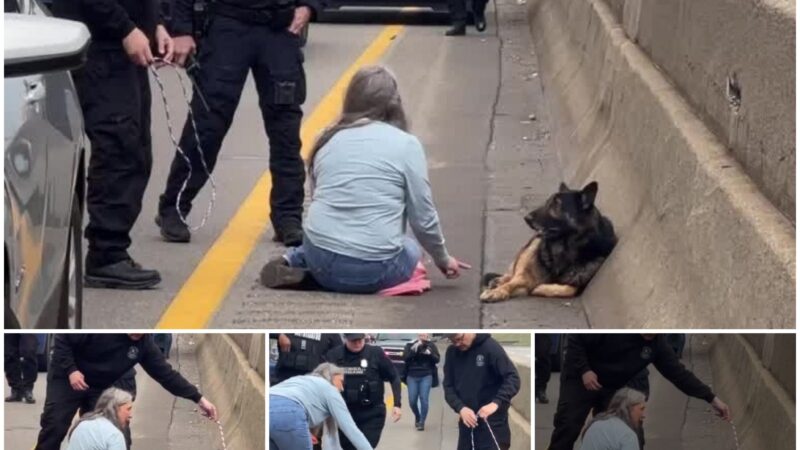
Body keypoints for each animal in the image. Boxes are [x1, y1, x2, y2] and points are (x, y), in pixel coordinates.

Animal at [478, 182, 616, 302]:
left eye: (556, 205)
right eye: (547, 203)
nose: (526, 218)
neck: (564, 248)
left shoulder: (581, 282)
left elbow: (569, 289)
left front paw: (541, 288)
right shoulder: (528, 274)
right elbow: (515, 281)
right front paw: (498, 291)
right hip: (532, 247)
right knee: (513, 274)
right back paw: (499, 281)